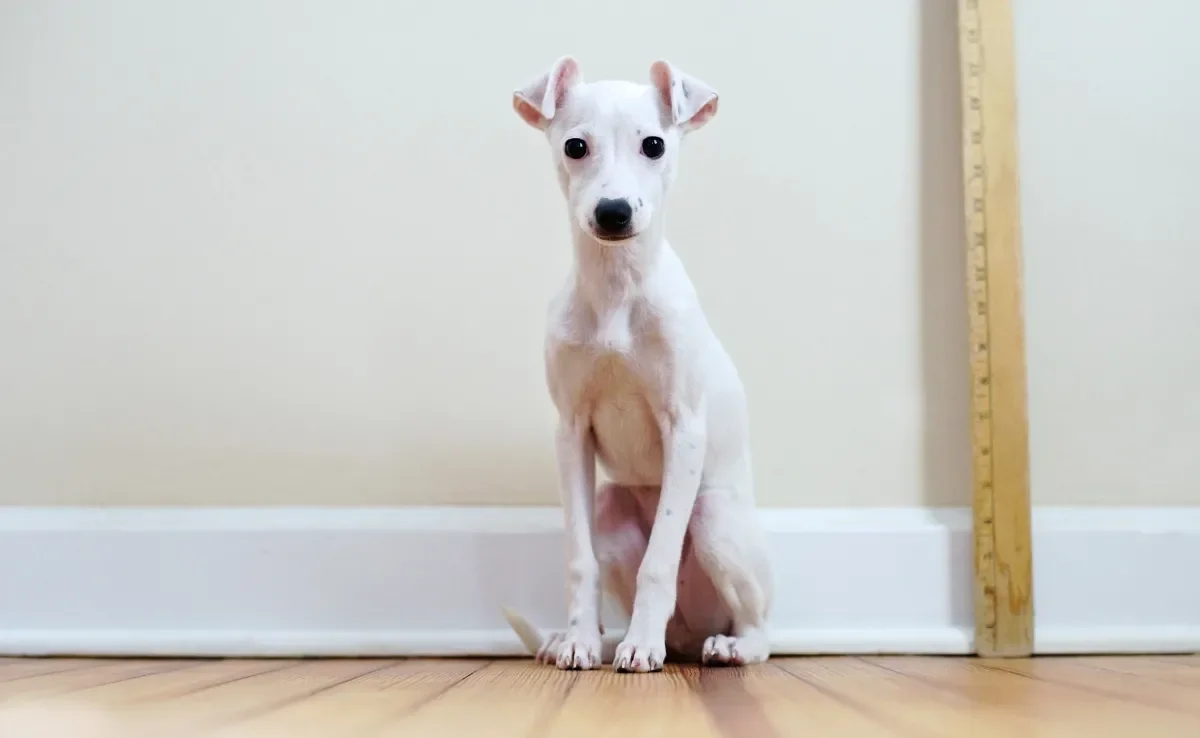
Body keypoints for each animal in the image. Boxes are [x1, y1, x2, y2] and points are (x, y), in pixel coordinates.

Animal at [501, 54, 772, 672]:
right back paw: (605, 640)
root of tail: (690, 635)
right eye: (575, 146)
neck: (617, 291)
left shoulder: (685, 427)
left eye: (654, 144)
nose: (613, 212)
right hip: (609, 511)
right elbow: (579, 561)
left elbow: (660, 559)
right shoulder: (571, 432)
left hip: (714, 519)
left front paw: (640, 647)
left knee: (760, 629)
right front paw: (579, 640)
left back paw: (716, 646)